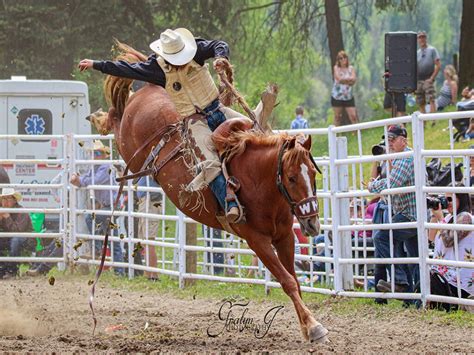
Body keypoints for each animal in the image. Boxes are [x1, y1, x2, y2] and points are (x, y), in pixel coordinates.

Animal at [99, 50, 330, 344]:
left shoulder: (285, 236)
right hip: (131, 148)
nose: (312, 224)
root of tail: (149, 90)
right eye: (290, 177)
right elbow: (287, 281)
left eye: (312, 173)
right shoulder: (257, 240)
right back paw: (101, 117)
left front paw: (307, 327)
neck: (259, 181)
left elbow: (295, 281)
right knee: (117, 115)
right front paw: (314, 326)